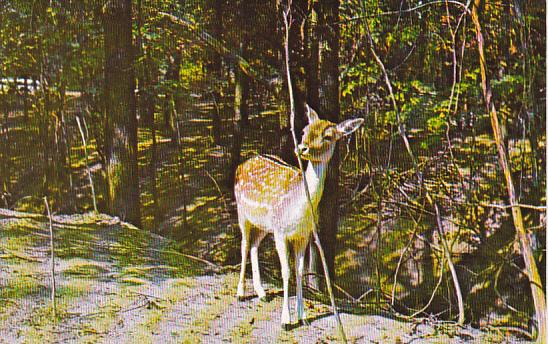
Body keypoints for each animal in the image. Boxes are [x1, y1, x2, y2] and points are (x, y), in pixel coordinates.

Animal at [234, 104, 364, 328]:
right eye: (304, 130)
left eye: (328, 136)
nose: (302, 148)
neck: (298, 212)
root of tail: (242, 164)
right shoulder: (280, 232)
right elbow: (286, 271)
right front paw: (286, 321)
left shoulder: (302, 236)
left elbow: (300, 271)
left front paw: (302, 317)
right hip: (243, 213)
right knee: (243, 245)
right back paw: (241, 293)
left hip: (263, 225)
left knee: (253, 246)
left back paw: (261, 293)